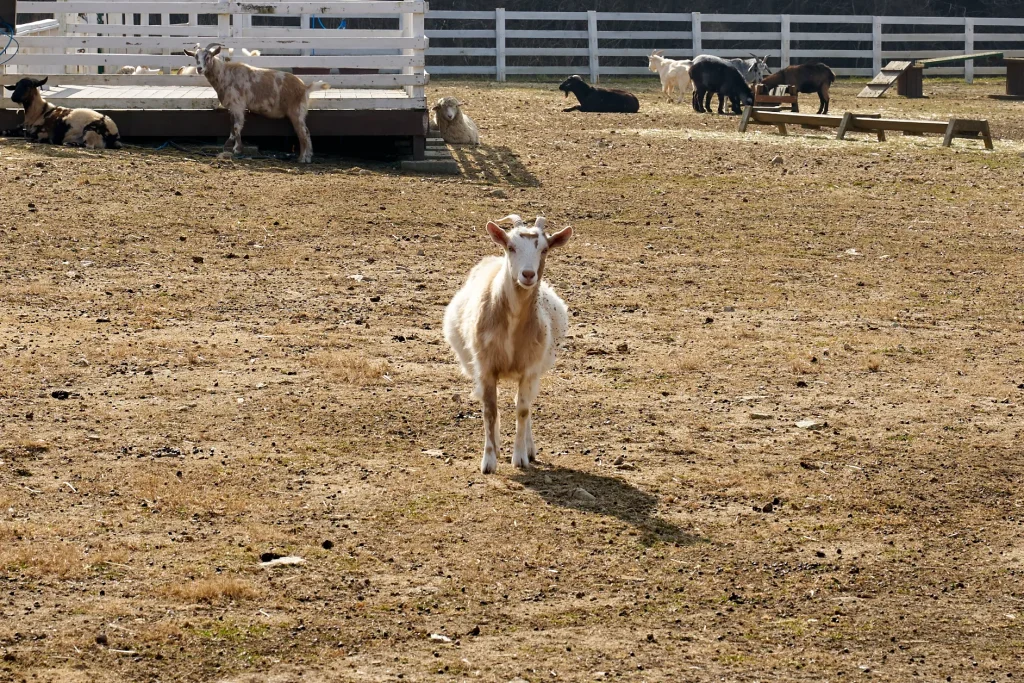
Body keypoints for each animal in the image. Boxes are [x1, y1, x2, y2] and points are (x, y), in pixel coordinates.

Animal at [182, 42, 327, 162]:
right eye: (195, 57)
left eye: (208, 56)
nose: (199, 68)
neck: (225, 74)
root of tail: (305, 87)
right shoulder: (232, 107)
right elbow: (232, 126)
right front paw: (228, 145)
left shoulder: (238, 105)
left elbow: (237, 126)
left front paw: (237, 149)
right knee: (305, 132)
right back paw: (307, 157)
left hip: (297, 112)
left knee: (303, 133)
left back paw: (303, 158)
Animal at [442, 216, 573, 473]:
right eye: (511, 247)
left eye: (544, 249)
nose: (528, 274)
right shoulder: (485, 368)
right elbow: (490, 411)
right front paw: (489, 460)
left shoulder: (530, 369)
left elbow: (522, 410)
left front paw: (520, 457)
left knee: (526, 404)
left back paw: (529, 448)